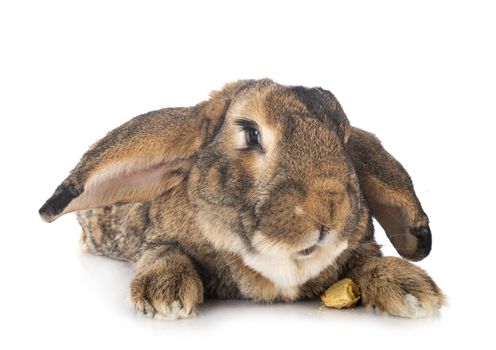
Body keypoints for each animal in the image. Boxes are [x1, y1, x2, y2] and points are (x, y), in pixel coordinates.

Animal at [39, 79, 446, 320]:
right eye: (251, 134)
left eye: (345, 140)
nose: (330, 206)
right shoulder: (156, 238)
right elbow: (163, 251)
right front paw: (164, 296)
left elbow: (371, 261)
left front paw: (412, 290)